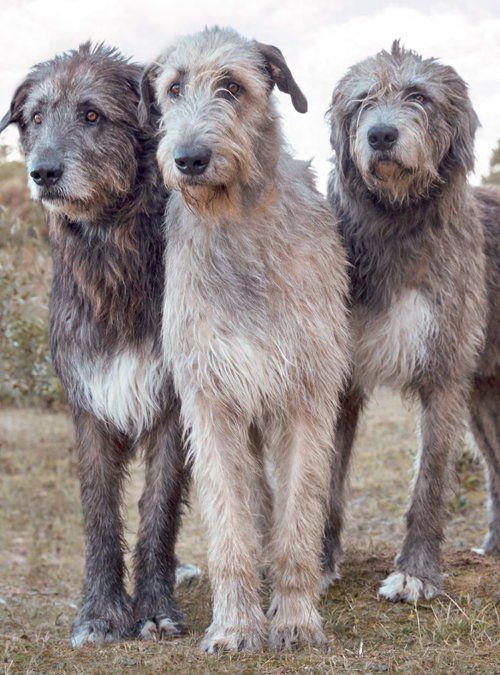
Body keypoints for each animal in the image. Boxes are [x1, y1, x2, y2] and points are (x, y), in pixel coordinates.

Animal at [0, 45, 195, 648]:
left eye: (92, 115)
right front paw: (101, 612)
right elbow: (99, 510)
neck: (112, 258)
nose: (42, 173)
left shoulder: (172, 406)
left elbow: (159, 509)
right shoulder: (88, 400)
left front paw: (153, 608)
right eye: (36, 117)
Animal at [140, 27, 352, 656]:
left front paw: (296, 618)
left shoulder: (307, 395)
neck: (237, 227)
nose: (188, 159)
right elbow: (230, 523)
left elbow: (298, 517)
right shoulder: (212, 402)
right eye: (173, 87)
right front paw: (235, 625)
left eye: (232, 87)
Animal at [322, 41, 500, 604]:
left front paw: (416, 571)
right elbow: (324, 478)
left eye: (419, 96)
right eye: (362, 101)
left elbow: (431, 479)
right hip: (484, 395)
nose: (381, 135)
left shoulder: (444, 374)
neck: (397, 219)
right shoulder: (339, 376)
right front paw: (318, 561)